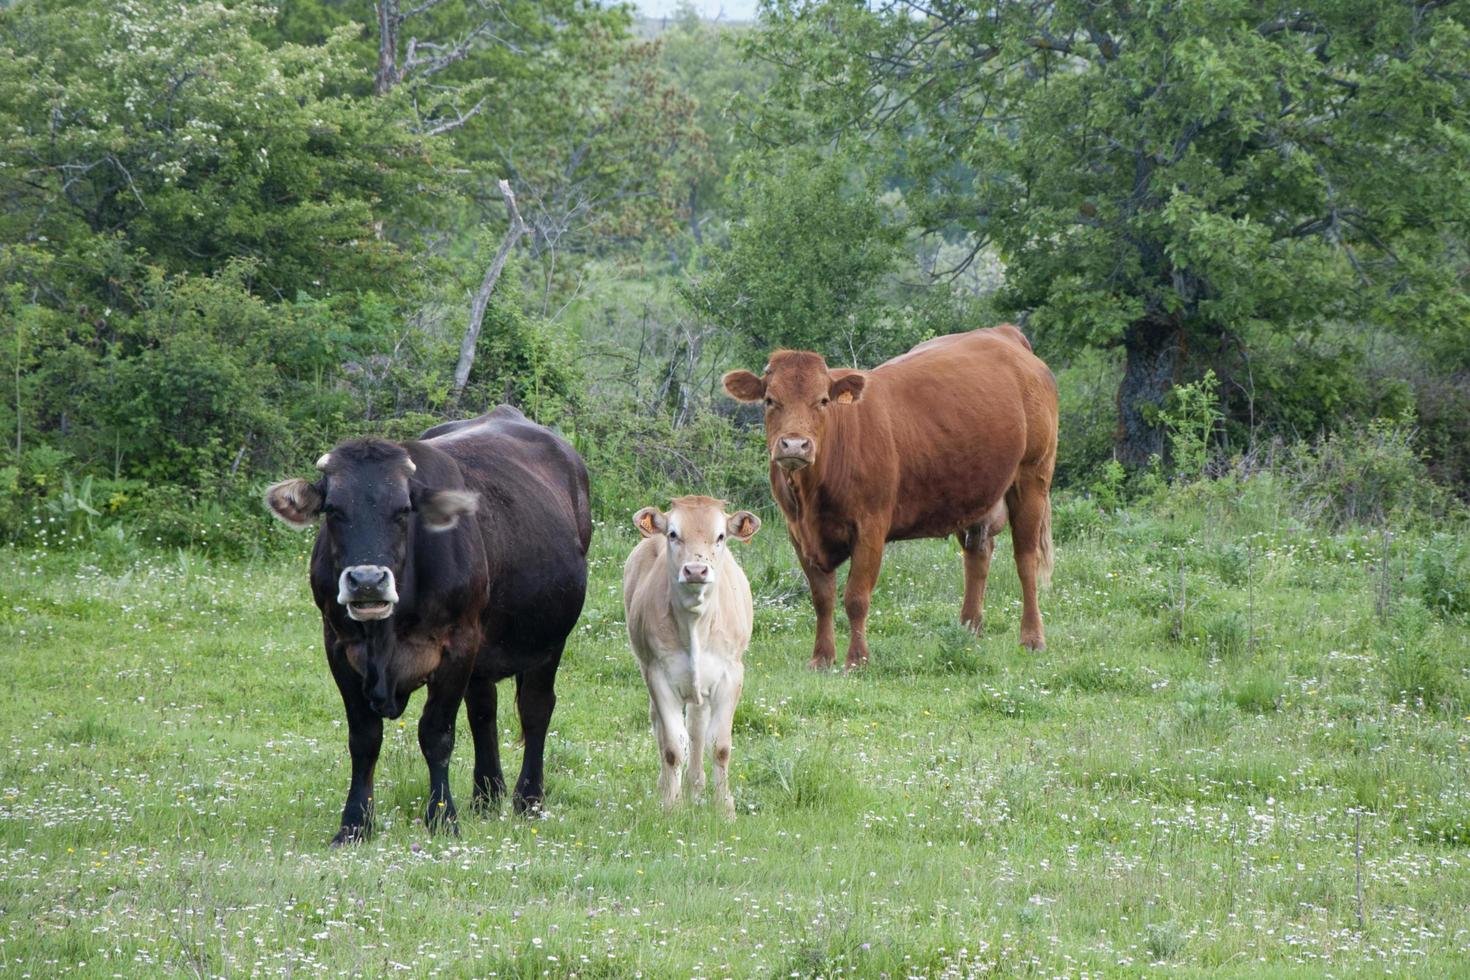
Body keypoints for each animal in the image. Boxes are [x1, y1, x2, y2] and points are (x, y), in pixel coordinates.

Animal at [264, 405, 590, 846]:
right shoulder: (337, 645)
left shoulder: (456, 645)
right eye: (333, 510)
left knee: (535, 709)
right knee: (483, 710)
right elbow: (363, 738)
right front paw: (354, 824)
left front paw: (442, 817)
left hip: (548, 639)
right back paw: (486, 796)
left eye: (403, 511)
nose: (367, 581)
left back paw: (528, 799)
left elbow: (436, 734)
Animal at [623, 499, 764, 811]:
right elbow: (673, 746)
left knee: (697, 726)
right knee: (661, 726)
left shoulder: (731, 674)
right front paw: (671, 806)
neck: (695, 623)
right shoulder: (658, 675)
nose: (696, 570)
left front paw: (724, 807)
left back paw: (696, 785)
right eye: (673, 533)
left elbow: (719, 746)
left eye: (720, 536)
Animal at [723, 326, 1058, 669]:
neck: (812, 496)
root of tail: (1003, 333)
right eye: (769, 400)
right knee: (977, 556)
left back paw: (1032, 638)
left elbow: (856, 597)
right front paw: (822, 658)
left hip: (1032, 477)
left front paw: (857, 659)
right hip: (975, 493)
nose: (794, 445)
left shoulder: (871, 526)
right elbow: (822, 598)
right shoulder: (798, 533)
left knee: (1025, 560)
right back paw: (968, 631)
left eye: (823, 401)